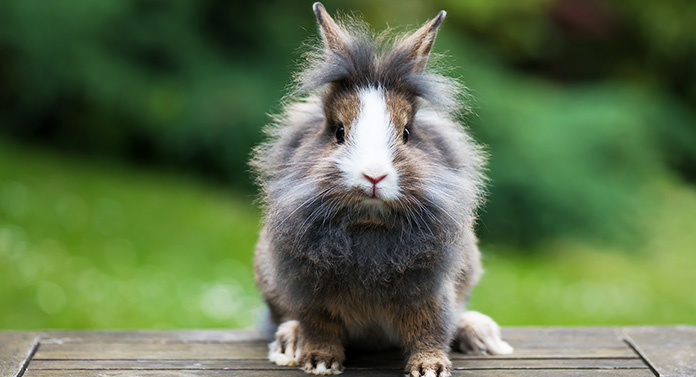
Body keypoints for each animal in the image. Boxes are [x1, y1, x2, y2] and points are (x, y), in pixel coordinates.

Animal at [250, 3, 512, 376]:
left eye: (406, 132)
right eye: (339, 131)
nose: (374, 176)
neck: (369, 224)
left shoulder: (430, 290)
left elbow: (429, 327)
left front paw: (430, 368)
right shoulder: (311, 289)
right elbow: (320, 325)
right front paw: (319, 362)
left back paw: (478, 333)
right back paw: (291, 341)